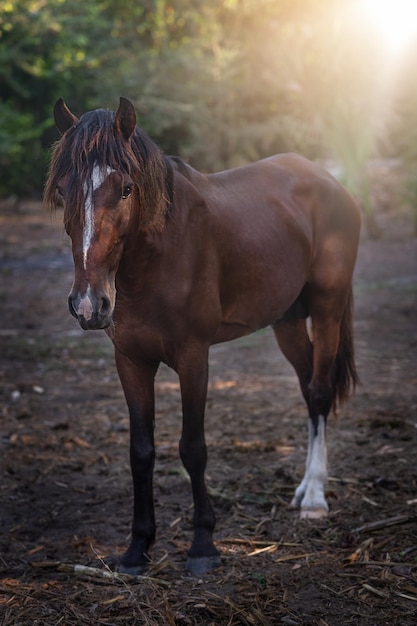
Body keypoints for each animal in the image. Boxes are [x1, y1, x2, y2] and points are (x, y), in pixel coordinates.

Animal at [44, 96, 360, 576]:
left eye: (126, 189)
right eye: (64, 190)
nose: (88, 304)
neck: (159, 258)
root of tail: (331, 183)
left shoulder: (194, 358)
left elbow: (192, 447)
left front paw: (203, 546)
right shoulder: (131, 361)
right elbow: (141, 451)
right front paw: (137, 549)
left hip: (327, 310)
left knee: (321, 393)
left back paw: (315, 498)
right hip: (287, 322)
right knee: (309, 391)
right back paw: (303, 490)